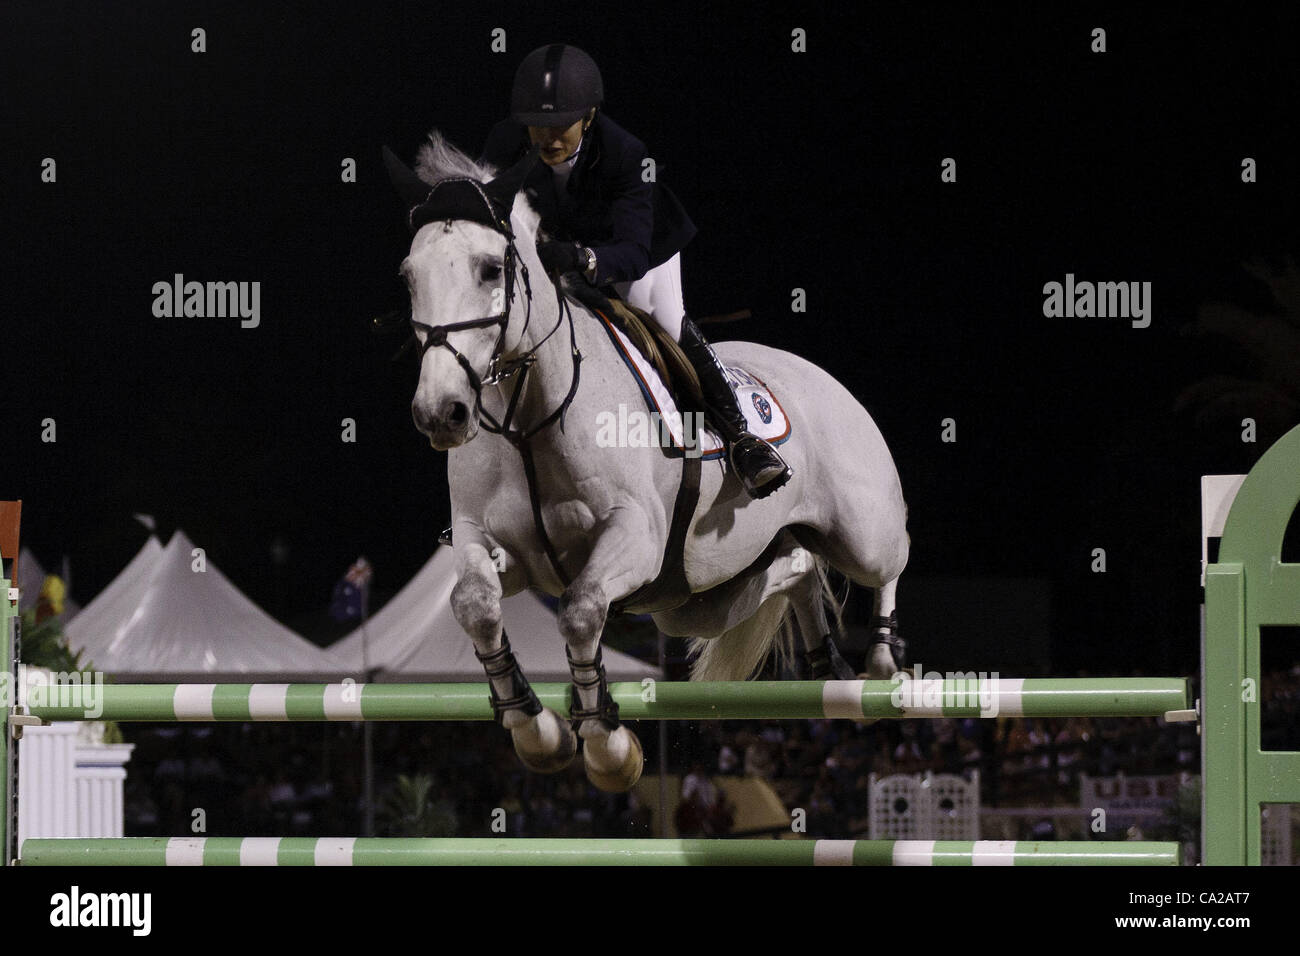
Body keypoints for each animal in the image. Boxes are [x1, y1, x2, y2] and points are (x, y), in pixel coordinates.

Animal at [384, 130, 909, 796]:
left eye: (489, 268)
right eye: (409, 277)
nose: (441, 412)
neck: (528, 420)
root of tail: (821, 376)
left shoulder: (634, 536)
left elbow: (582, 610)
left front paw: (607, 746)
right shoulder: (490, 542)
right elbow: (475, 605)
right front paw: (539, 731)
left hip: (859, 532)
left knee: (886, 561)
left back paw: (882, 666)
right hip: (693, 602)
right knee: (793, 567)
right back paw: (824, 658)